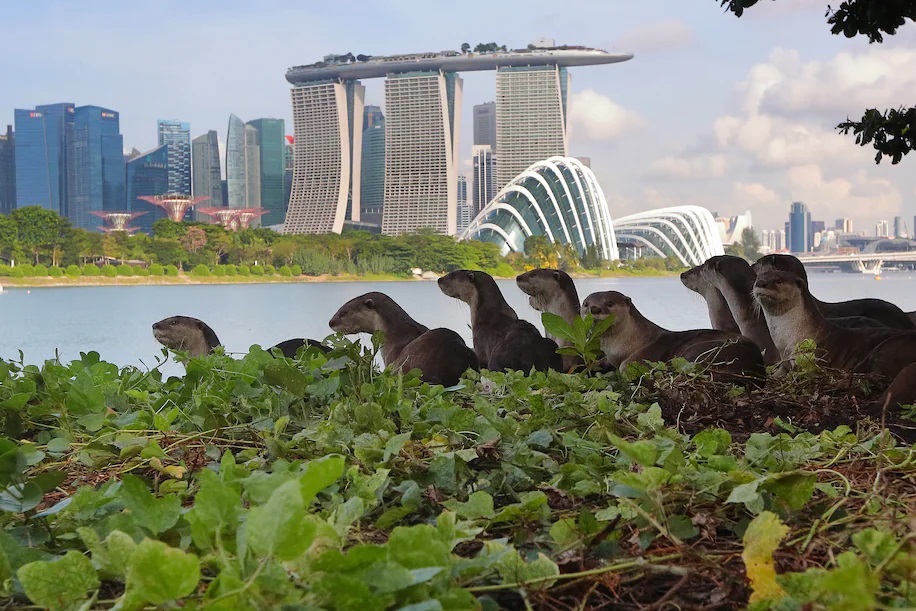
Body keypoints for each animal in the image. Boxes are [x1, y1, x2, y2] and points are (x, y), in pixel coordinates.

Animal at [581, 291, 766, 387]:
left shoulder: (641, 356)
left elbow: (625, 366)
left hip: (698, 351)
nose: (594, 309)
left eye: (609, 303)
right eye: (585, 303)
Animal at [752, 270, 916, 380]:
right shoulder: (784, 361)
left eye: (779, 280)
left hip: (888, 347)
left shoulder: (810, 358)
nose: (760, 283)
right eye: (758, 278)